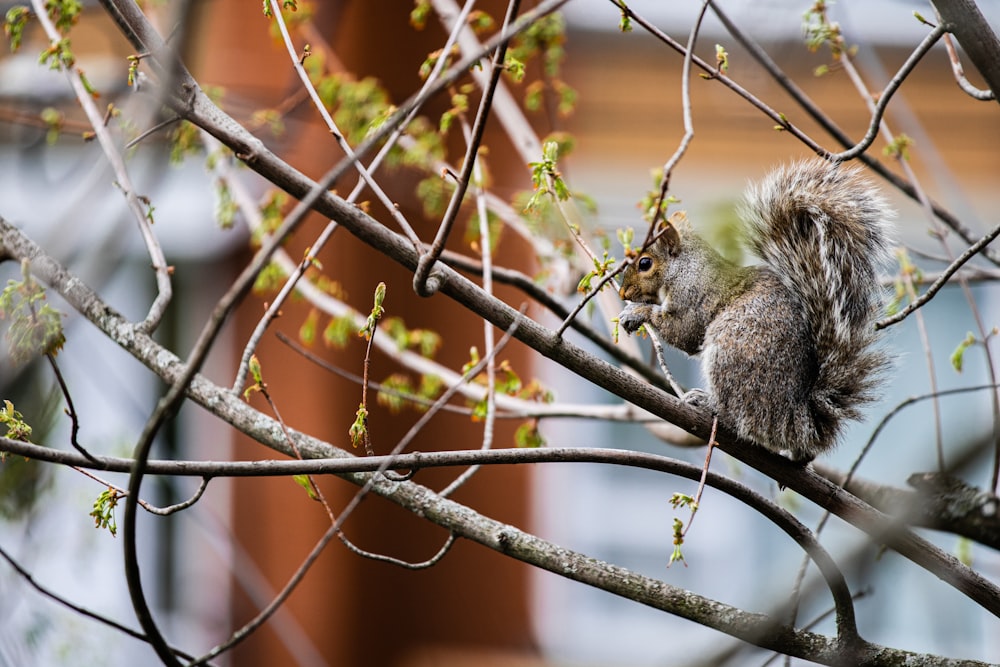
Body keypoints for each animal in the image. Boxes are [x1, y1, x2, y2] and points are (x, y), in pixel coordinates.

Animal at [620, 160, 896, 464]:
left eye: (645, 263)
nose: (623, 293)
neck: (684, 266)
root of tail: (798, 421)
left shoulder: (693, 296)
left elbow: (685, 332)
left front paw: (638, 312)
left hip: (732, 350)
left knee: (736, 415)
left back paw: (706, 404)